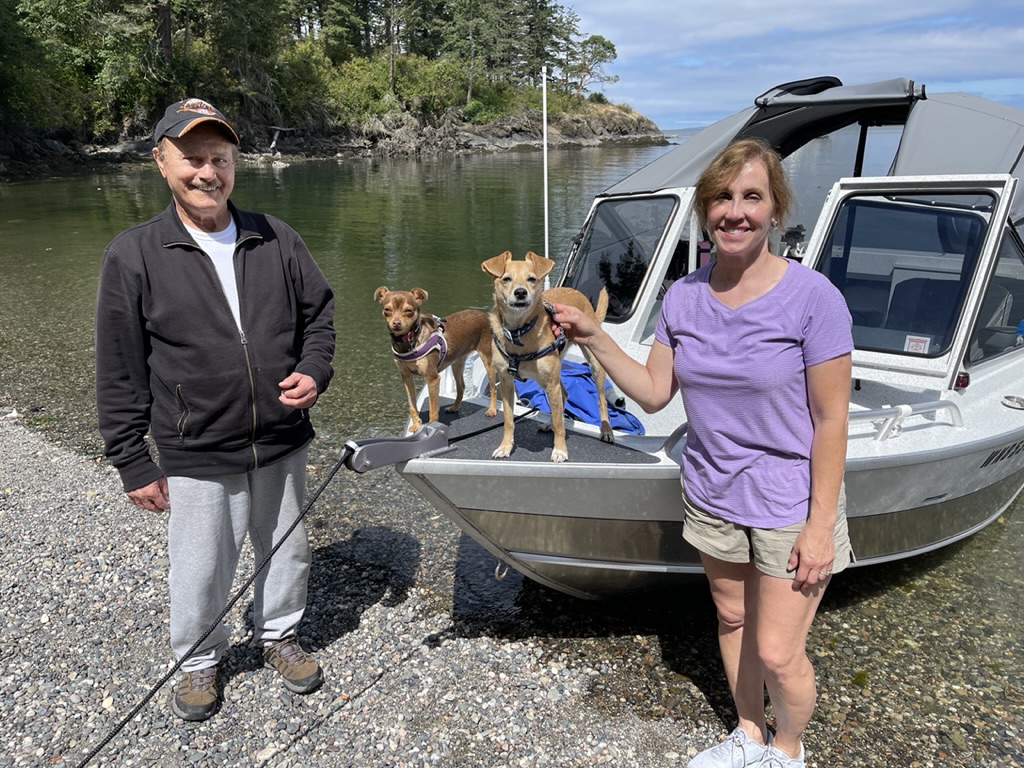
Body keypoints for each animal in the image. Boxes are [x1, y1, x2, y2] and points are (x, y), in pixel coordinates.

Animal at [374, 286, 497, 433]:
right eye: (387, 309)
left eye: (409, 310)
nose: (396, 323)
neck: (408, 339)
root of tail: (482, 314)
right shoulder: (406, 377)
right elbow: (412, 405)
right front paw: (416, 424)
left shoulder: (432, 378)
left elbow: (433, 409)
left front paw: (432, 426)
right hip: (457, 364)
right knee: (461, 386)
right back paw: (454, 407)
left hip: (488, 360)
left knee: (493, 387)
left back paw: (492, 410)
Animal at [481, 250, 614, 462]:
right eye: (506, 279)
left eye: (532, 279)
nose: (520, 292)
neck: (519, 332)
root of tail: (576, 292)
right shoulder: (506, 382)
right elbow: (509, 421)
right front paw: (505, 447)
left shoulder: (551, 383)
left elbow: (561, 424)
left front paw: (560, 450)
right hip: (548, 379)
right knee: (564, 396)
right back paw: (550, 424)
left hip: (593, 365)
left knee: (600, 400)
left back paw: (606, 429)